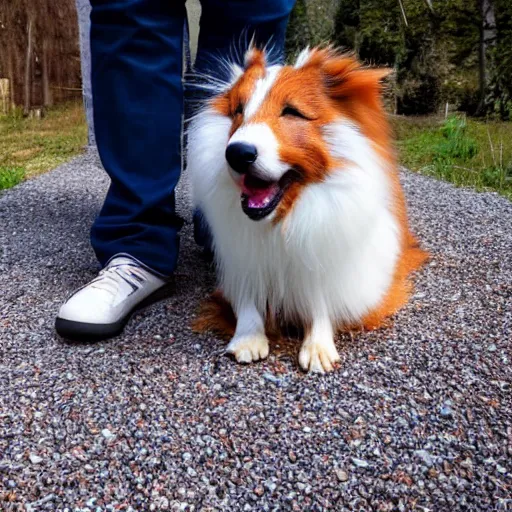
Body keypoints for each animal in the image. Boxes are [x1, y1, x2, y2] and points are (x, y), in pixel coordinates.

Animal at [186, 47, 426, 372]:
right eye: (238, 110)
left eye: (291, 112)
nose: (236, 153)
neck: (281, 221)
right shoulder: (243, 258)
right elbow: (247, 296)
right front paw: (248, 335)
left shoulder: (321, 257)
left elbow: (320, 300)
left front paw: (318, 344)